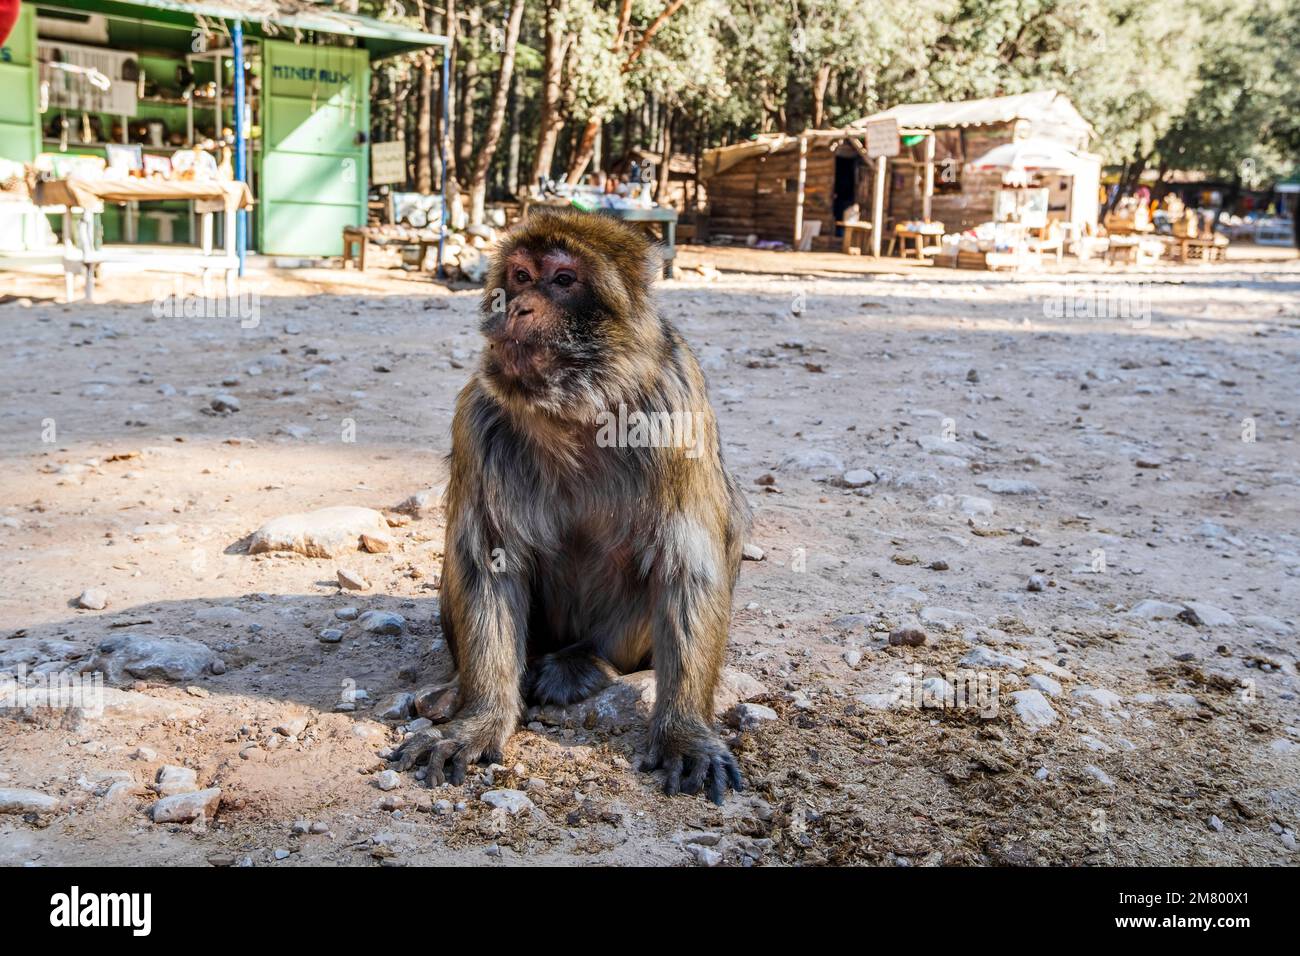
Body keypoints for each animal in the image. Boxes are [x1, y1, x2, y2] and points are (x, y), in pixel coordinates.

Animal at [390, 213, 748, 806]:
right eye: (519, 275)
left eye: (562, 280)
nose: (516, 306)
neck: (575, 410)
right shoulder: (479, 415)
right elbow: (489, 561)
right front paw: (480, 719)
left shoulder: (675, 403)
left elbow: (686, 567)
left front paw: (685, 732)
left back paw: (583, 663)